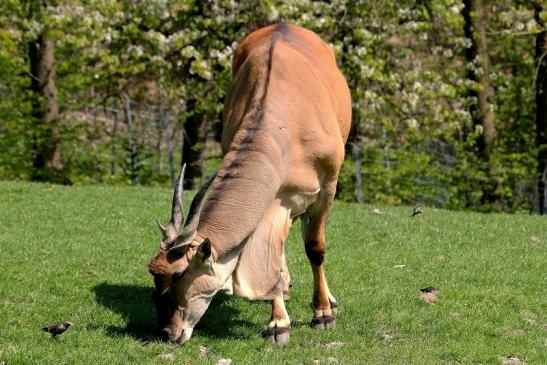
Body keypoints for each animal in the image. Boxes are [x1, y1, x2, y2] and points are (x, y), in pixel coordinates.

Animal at [148, 23, 352, 344]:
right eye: (155, 277)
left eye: (179, 274)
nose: (168, 332)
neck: (284, 121)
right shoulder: (273, 200)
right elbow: (273, 257)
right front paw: (278, 322)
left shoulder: (327, 187)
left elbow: (315, 248)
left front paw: (322, 314)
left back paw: (327, 300)